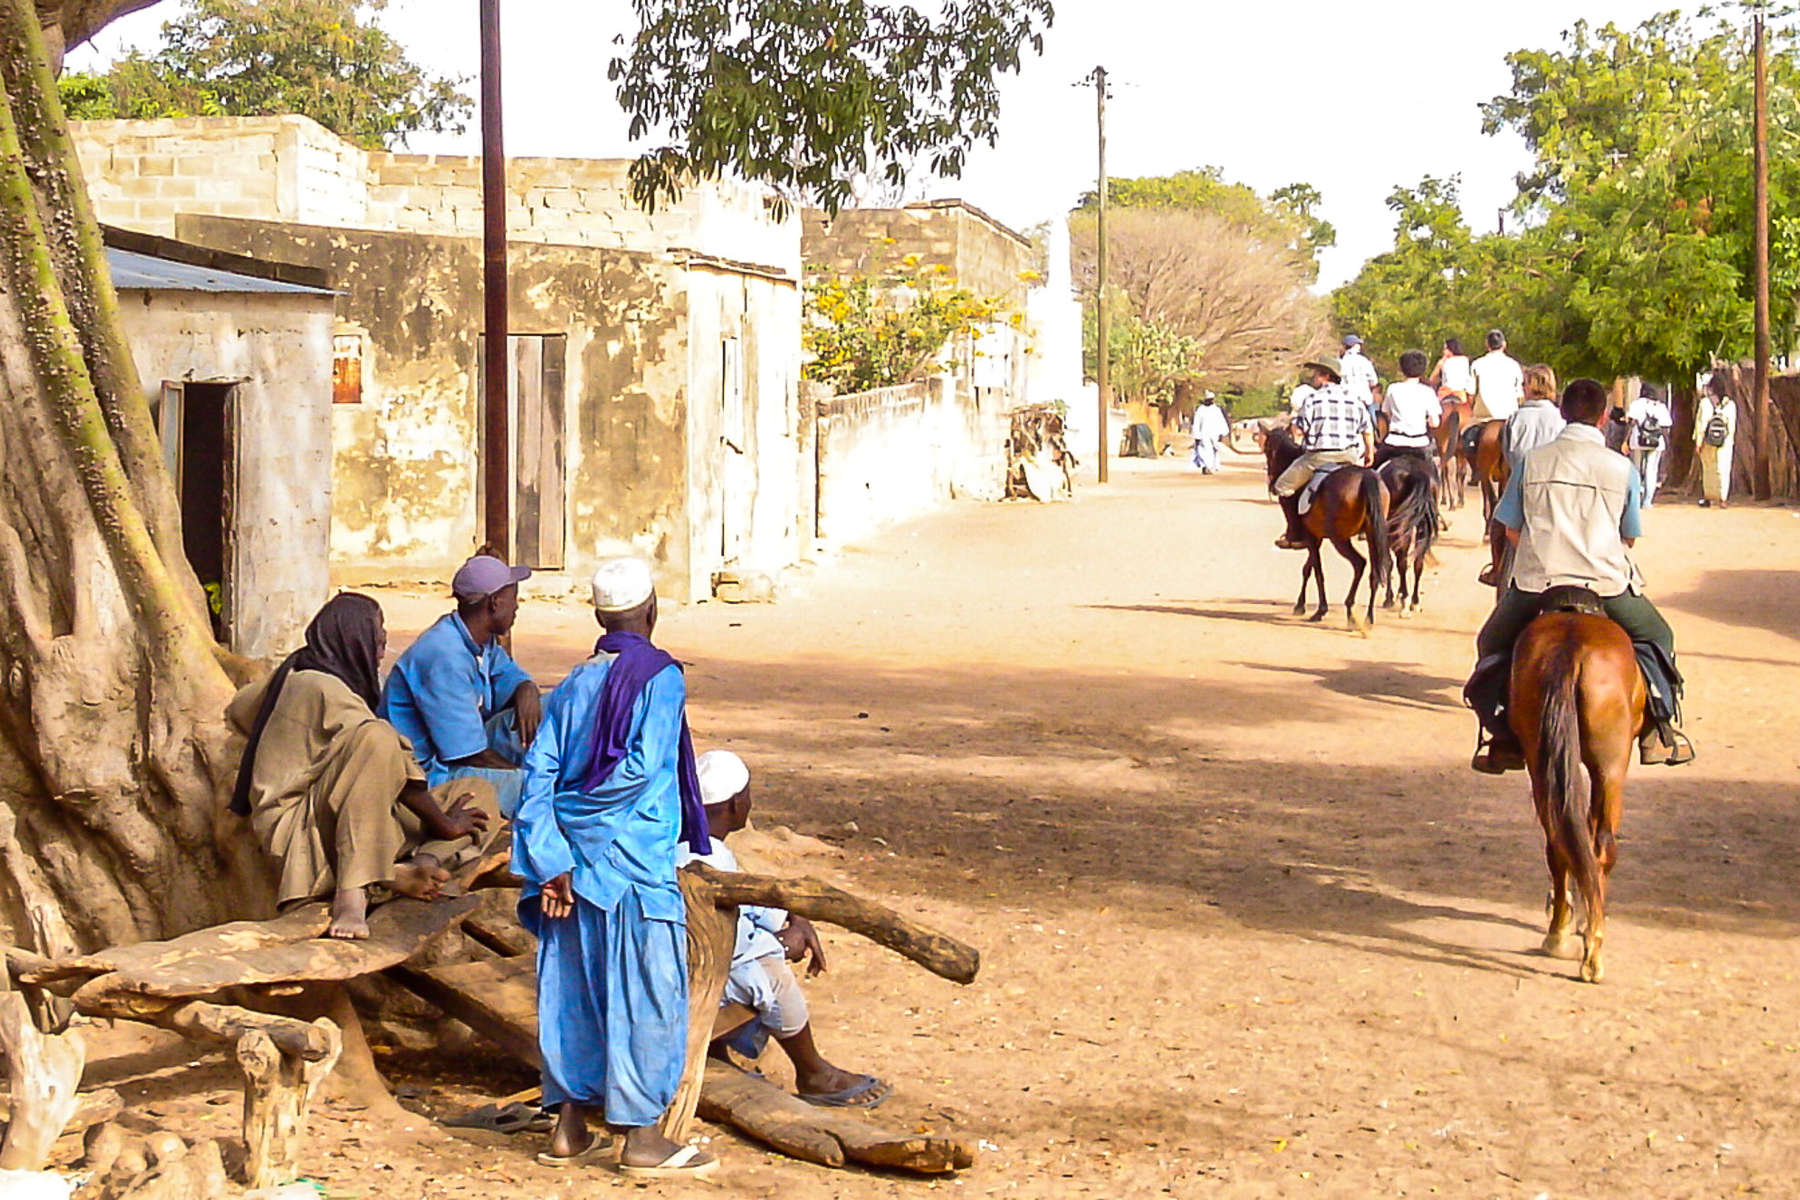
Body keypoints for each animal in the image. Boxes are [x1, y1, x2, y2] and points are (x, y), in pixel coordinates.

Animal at [1267, 426, 1389, 633]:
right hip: (1373, 535)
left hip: (1339, 538)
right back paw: (1368, 619)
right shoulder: (1315, 538)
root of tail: (1366, 477)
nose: (1271, 484)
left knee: (1359, 563)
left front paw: (1319, 610)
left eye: (1267, 449)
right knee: (1374, 572)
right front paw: (1300, 605)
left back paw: (1349, 611)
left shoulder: (1312, 538)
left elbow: (1317, 571)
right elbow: (1307, 568)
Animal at [1519, 597, 1648, 985]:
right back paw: (1579, 944)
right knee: (1594, 845)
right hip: (1609, 765)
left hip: (1546, 762)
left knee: (1565, 842)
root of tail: (1571, 645)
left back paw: (1573, 938)